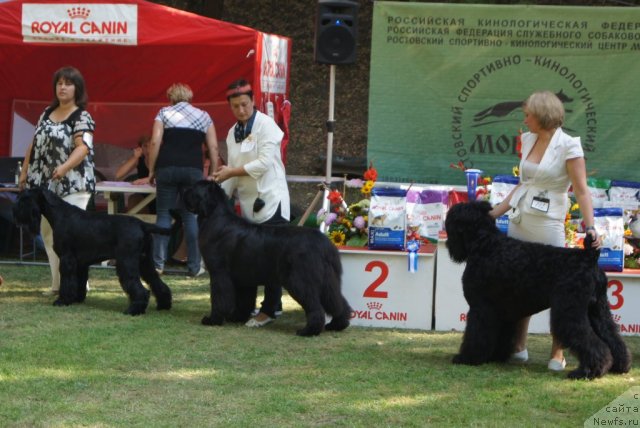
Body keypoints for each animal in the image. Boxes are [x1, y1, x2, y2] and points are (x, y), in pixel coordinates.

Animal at [13, 187, 172, 314]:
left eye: (25, 199)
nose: (15, 212)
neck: (60, 214)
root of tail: (142, 225)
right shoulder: (80, 263)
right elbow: (79, 281)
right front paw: (76, 298)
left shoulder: (66, 258)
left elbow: (67, 281)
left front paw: (62, 300)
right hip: (145, 262)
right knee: (156, 281)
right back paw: (163, 305)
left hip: (127, 262)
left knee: (141, 289)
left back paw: (133, 310)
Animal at [182, 179, 352, 336]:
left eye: (193, 189)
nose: (182, 191)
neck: (214, 217)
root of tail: (324, 243)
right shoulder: (243, 278)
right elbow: (244, 300)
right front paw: (237, 317)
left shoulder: (219, 273)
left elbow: (219, 298)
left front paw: (213, 320)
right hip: (328, 280)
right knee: (337, 301)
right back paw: (337, 325)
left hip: (300, 280)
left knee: (315, 306)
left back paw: (308, 331)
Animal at [444, 201, 632, 382]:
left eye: (450, 220)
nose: (447, 243)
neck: (484, 244)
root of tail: (589, 257)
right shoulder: (503, 311)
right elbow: (501, 335)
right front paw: (496, 356)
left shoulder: (480, 307)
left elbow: (476, 333)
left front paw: (467, 357)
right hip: (597, 310)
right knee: (611, 336)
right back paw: (619, 365)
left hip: (569, 312)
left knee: (591, 341)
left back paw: (587, 371)